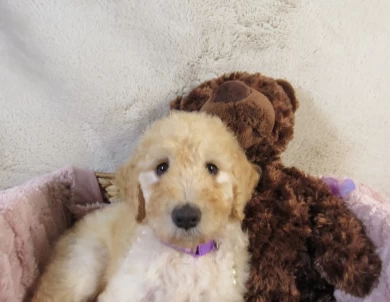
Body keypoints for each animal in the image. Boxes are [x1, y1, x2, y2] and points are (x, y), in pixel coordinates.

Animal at [32, 111, 258, 302]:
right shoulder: (125, 289)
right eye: (162, 167)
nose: (186, 217)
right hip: (80, 267)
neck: (185, 253)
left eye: (212, 168)